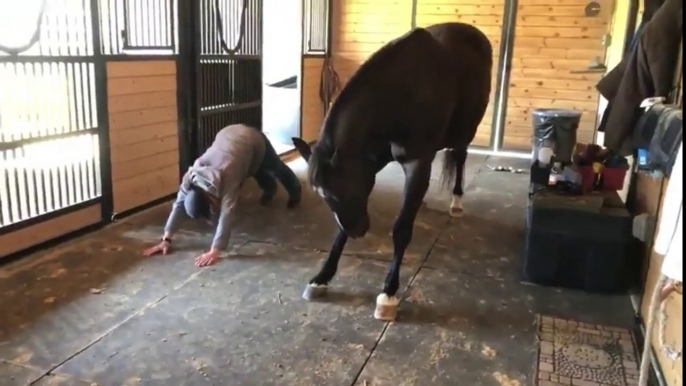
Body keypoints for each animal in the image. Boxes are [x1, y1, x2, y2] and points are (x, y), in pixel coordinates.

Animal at [290, 22, 494, 322]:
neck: (401, 93)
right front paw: (322, 278)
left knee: (460, 158)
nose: (358, 231)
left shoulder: (417, 162)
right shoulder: (371, 161)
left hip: (465, 132)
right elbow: (339, 230)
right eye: (323, 195)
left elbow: (401, 228)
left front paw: (388, 294)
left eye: (344, 188)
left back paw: (456, 202)